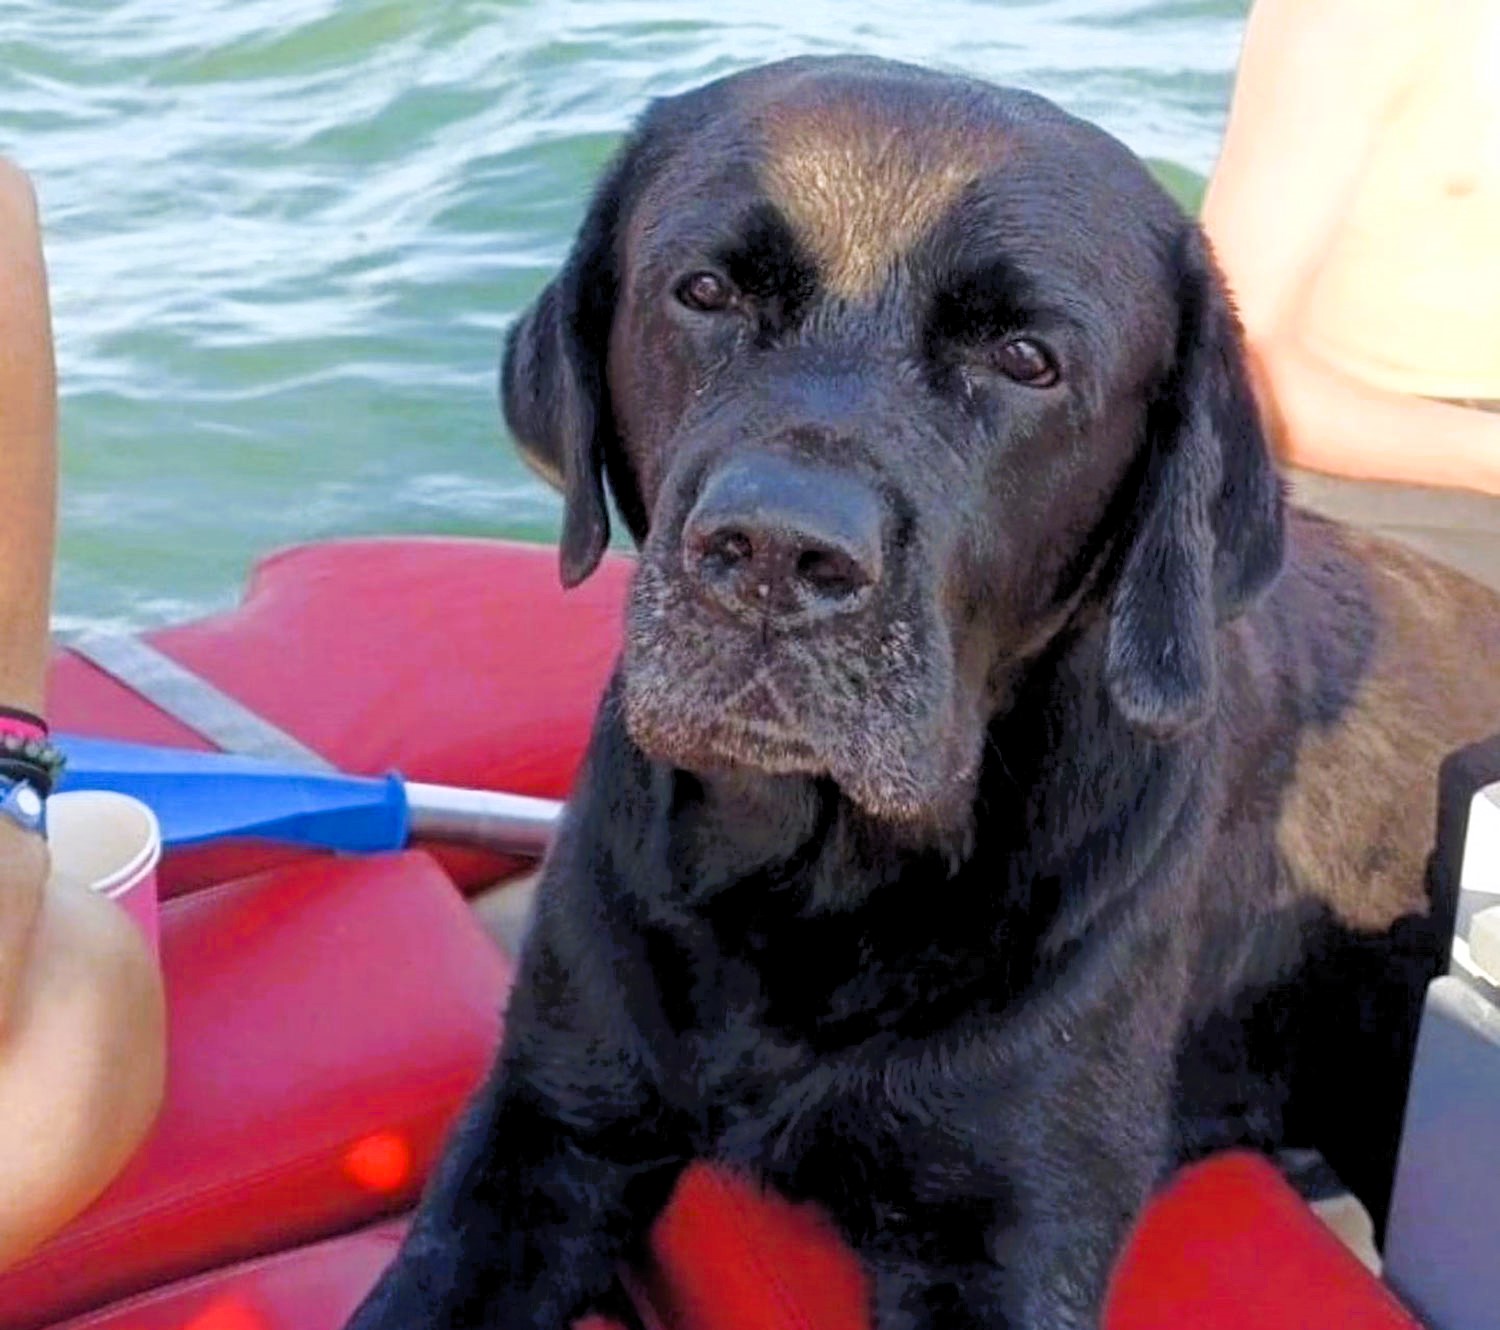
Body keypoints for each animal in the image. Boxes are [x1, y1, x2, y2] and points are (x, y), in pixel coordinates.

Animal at [348, 59, 1500, 1330]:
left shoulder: (1004, 1237)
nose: (777, 550)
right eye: (704, 290)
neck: (807, 878)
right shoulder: (549, 1118)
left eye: (1026, 358)